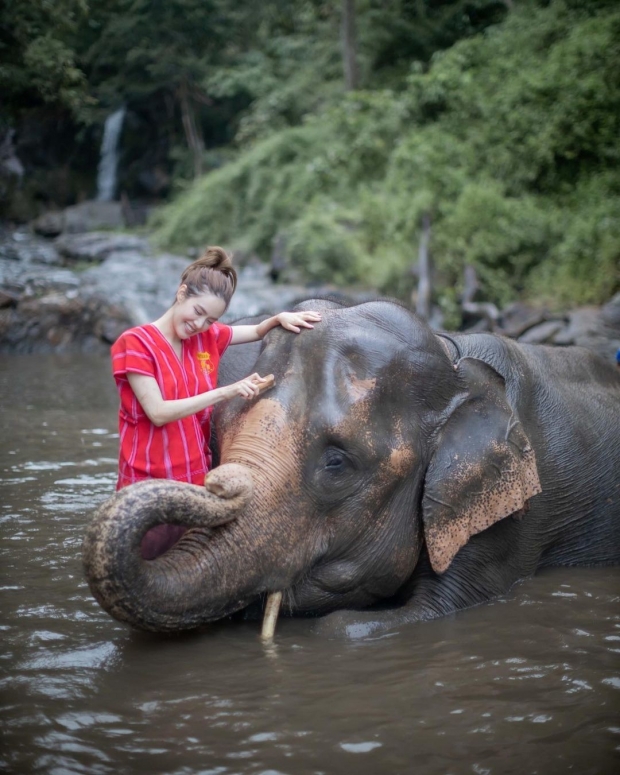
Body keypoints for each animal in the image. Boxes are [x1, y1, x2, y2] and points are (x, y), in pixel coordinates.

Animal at [83, 298, 620, 636]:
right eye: (215, 433)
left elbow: (360, 625)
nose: (221, 482)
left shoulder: (514, 521)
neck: (454, 362)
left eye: (337, 461)